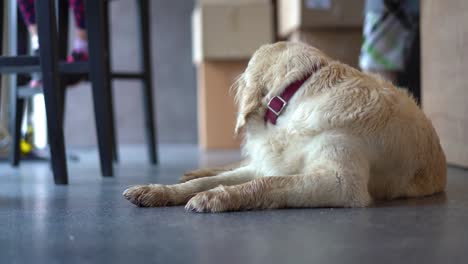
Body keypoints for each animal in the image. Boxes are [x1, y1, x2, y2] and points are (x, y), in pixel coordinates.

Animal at [122, 42, 444, 213]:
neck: (300, 90)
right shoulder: (268, 162)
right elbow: (207, 182)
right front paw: (160, 190)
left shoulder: (341, 182)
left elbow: (268, 183)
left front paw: (217, 197)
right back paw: (194, 171)